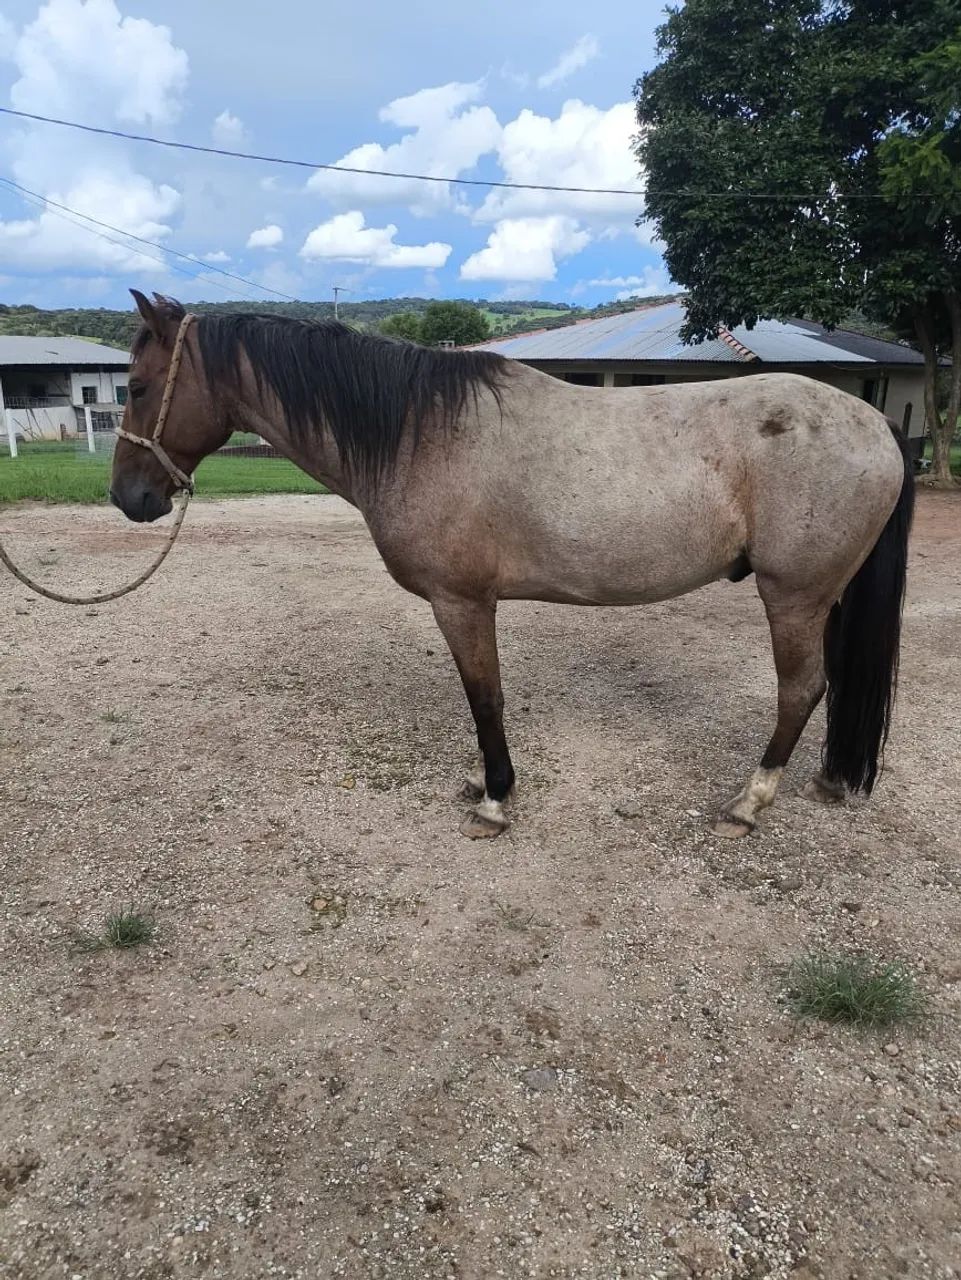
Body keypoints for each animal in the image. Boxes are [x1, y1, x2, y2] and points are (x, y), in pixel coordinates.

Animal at [111, 290, 914, 840]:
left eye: (140, 386)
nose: (129, 497)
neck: (422, 433)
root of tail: (876, 421)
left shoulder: (462, 602)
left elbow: (484, 698)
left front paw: (496, 797)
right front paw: (483, 783)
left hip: (794, 595)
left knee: (801, 688)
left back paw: (749, 802)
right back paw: (827, 778)